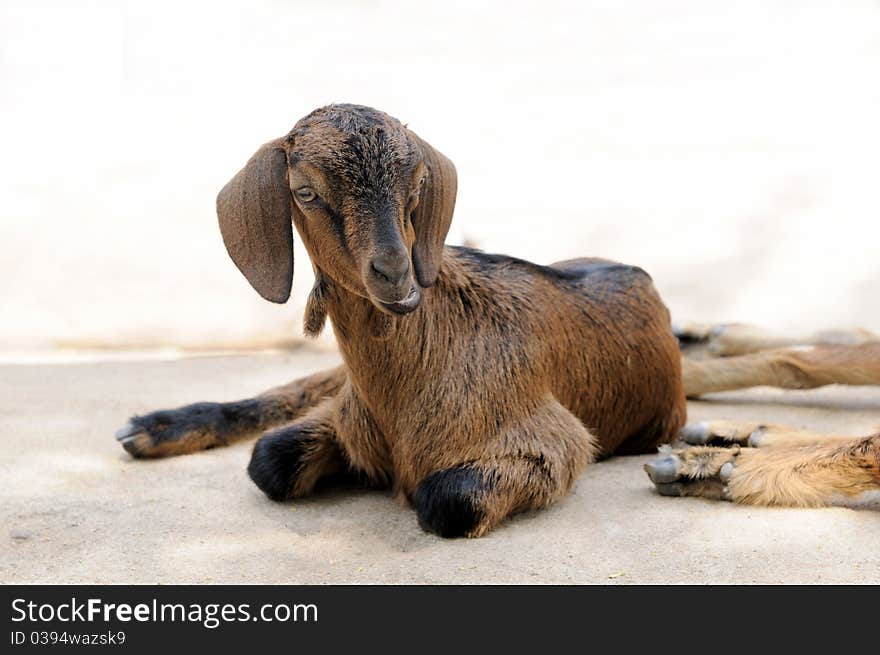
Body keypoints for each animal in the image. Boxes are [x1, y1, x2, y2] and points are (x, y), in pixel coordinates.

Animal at [113, 104, 688, 540]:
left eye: (417, 184)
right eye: (305, 192)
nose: (395, 273)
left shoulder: (550, 439)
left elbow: (445, 499)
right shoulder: (349, 411)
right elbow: (269, 460)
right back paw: (151, 428)